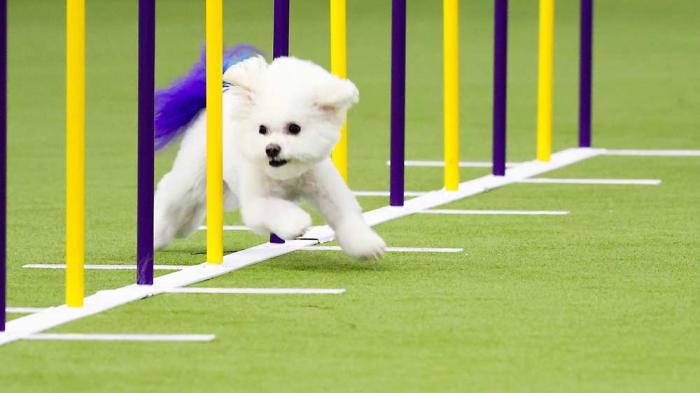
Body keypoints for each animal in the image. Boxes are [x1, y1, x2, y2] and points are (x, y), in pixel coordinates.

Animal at [152, 52, 386, 260]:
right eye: (262, 129)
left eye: (294, 128)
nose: (271, 149)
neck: (287, 176)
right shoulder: (257, 201)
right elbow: (273, 210)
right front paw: (296, 223)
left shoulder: (326, 188)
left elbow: (346, 214)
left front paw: (367, 245)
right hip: (195, 174)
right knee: (171, 195)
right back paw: (157, 235)